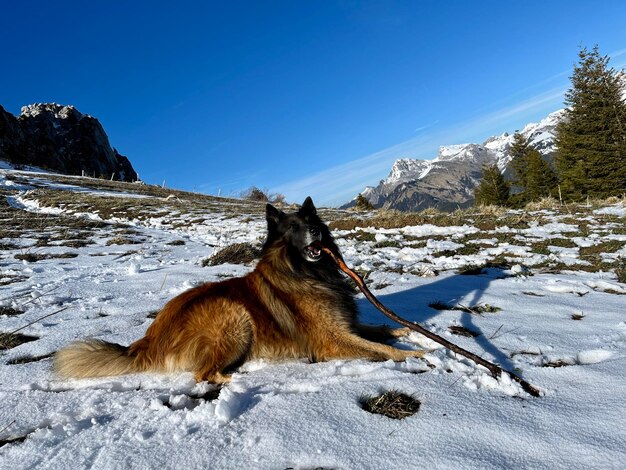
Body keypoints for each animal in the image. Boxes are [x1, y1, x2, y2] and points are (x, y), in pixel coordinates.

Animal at [54, 196, 424, 384]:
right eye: (294, 227)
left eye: (311, 221)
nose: (317, 231)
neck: (307, 272)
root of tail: (148, 340)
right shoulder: (331, 338)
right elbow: (379, 349)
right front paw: (415, 356)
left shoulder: (346, 323)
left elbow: (381, 328)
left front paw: (408, 333)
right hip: (233, 315)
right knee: (203, 374)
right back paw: (238, 379)